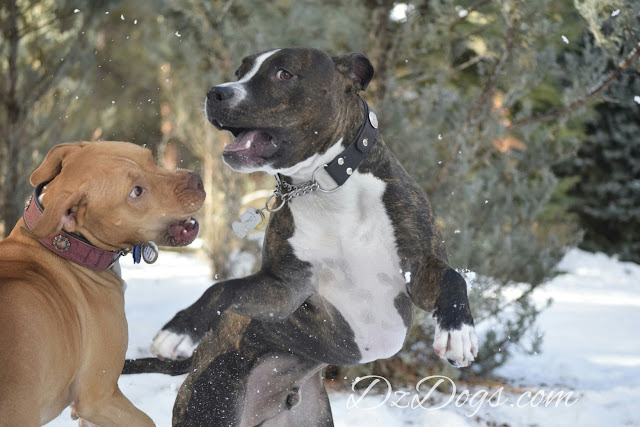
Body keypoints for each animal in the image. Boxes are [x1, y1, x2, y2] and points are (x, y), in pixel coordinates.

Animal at [0, 141, 205, 426]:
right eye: (136, 191)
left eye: (151, 159)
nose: (198, 181)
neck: (71, 247)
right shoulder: (99, 397)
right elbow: (148, 421)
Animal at [149, 48, 479, 426]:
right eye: (239, 72)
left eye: (284, 74)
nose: (215, 93)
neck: (323, 186)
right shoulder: (286, 289)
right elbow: (224, 288)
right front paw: (181, 329)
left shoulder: (420, 269)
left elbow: (453, 277)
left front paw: (458, 332)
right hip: (211, 403)